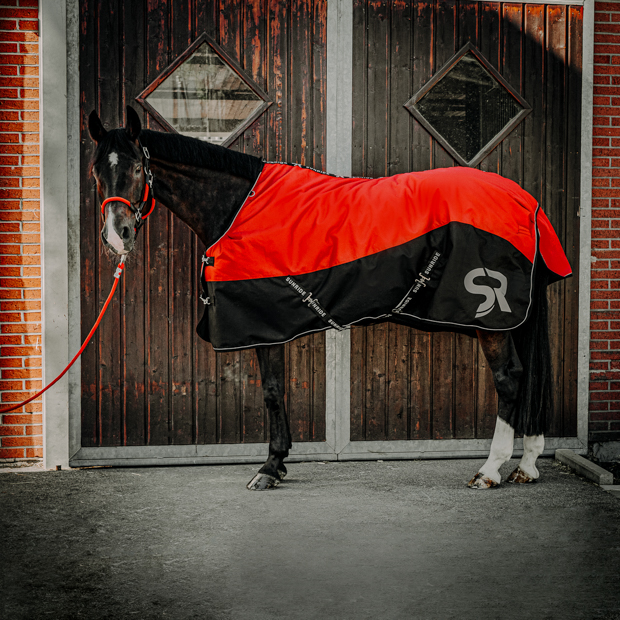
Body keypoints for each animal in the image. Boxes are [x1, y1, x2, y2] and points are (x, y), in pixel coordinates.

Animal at [88, 105, 572, 490]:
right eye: (96, 172)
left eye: (136, 169)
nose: (116, 236)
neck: (240, 206)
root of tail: (524, 200)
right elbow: (276, 390)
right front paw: (278, 462)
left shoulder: (264, 325)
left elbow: (272, 391)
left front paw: (271, 466)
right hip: (511, 319)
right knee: (530, 378)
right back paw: (527, 465)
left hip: (492, 320)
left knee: (509, 380)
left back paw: (490, 470)